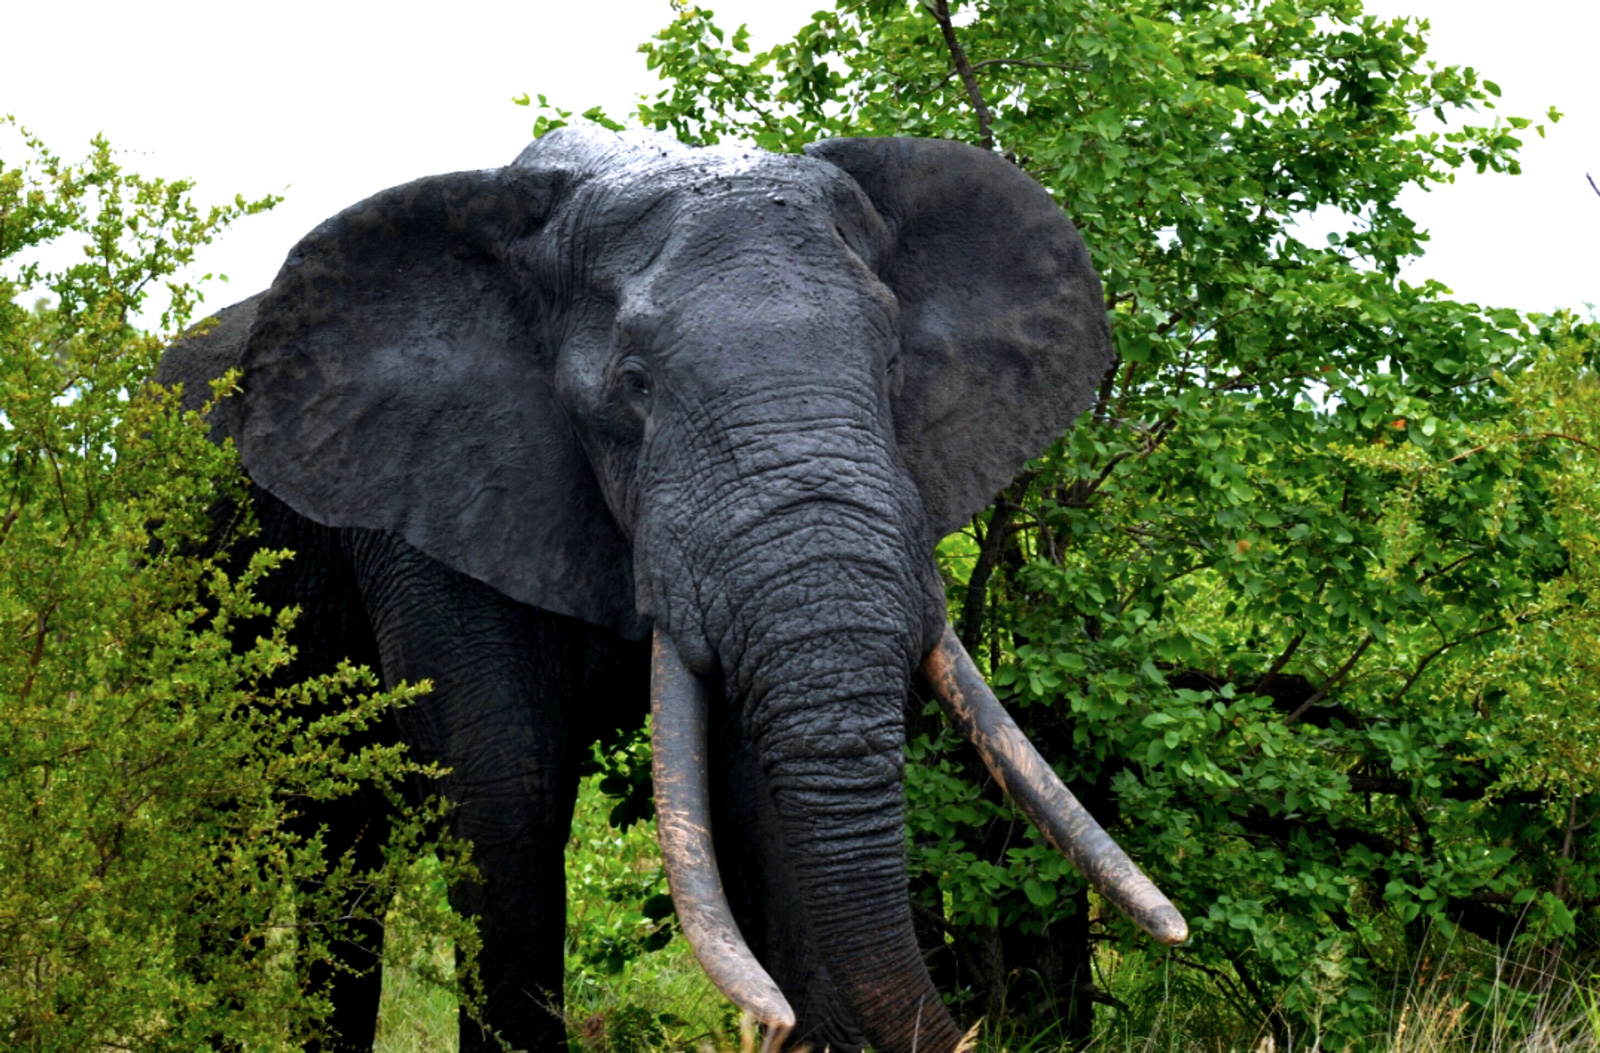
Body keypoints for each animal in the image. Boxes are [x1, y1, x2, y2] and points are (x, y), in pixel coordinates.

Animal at [162, 128, 1184, 1049]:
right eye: (634, 387)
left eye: (894, 367)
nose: (967, 1028)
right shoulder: (433, 494)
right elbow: (507, 789)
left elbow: (757, 795)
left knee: (340, 835)